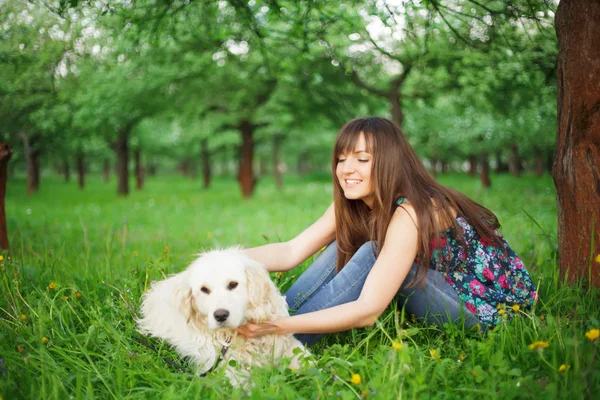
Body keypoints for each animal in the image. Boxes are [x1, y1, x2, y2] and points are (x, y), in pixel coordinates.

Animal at [134, 248, 308, 386]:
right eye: (204, 289)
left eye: (233, 284)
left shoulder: (287, 344)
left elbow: (306, 359)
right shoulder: (221, 365)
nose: (220, 315)